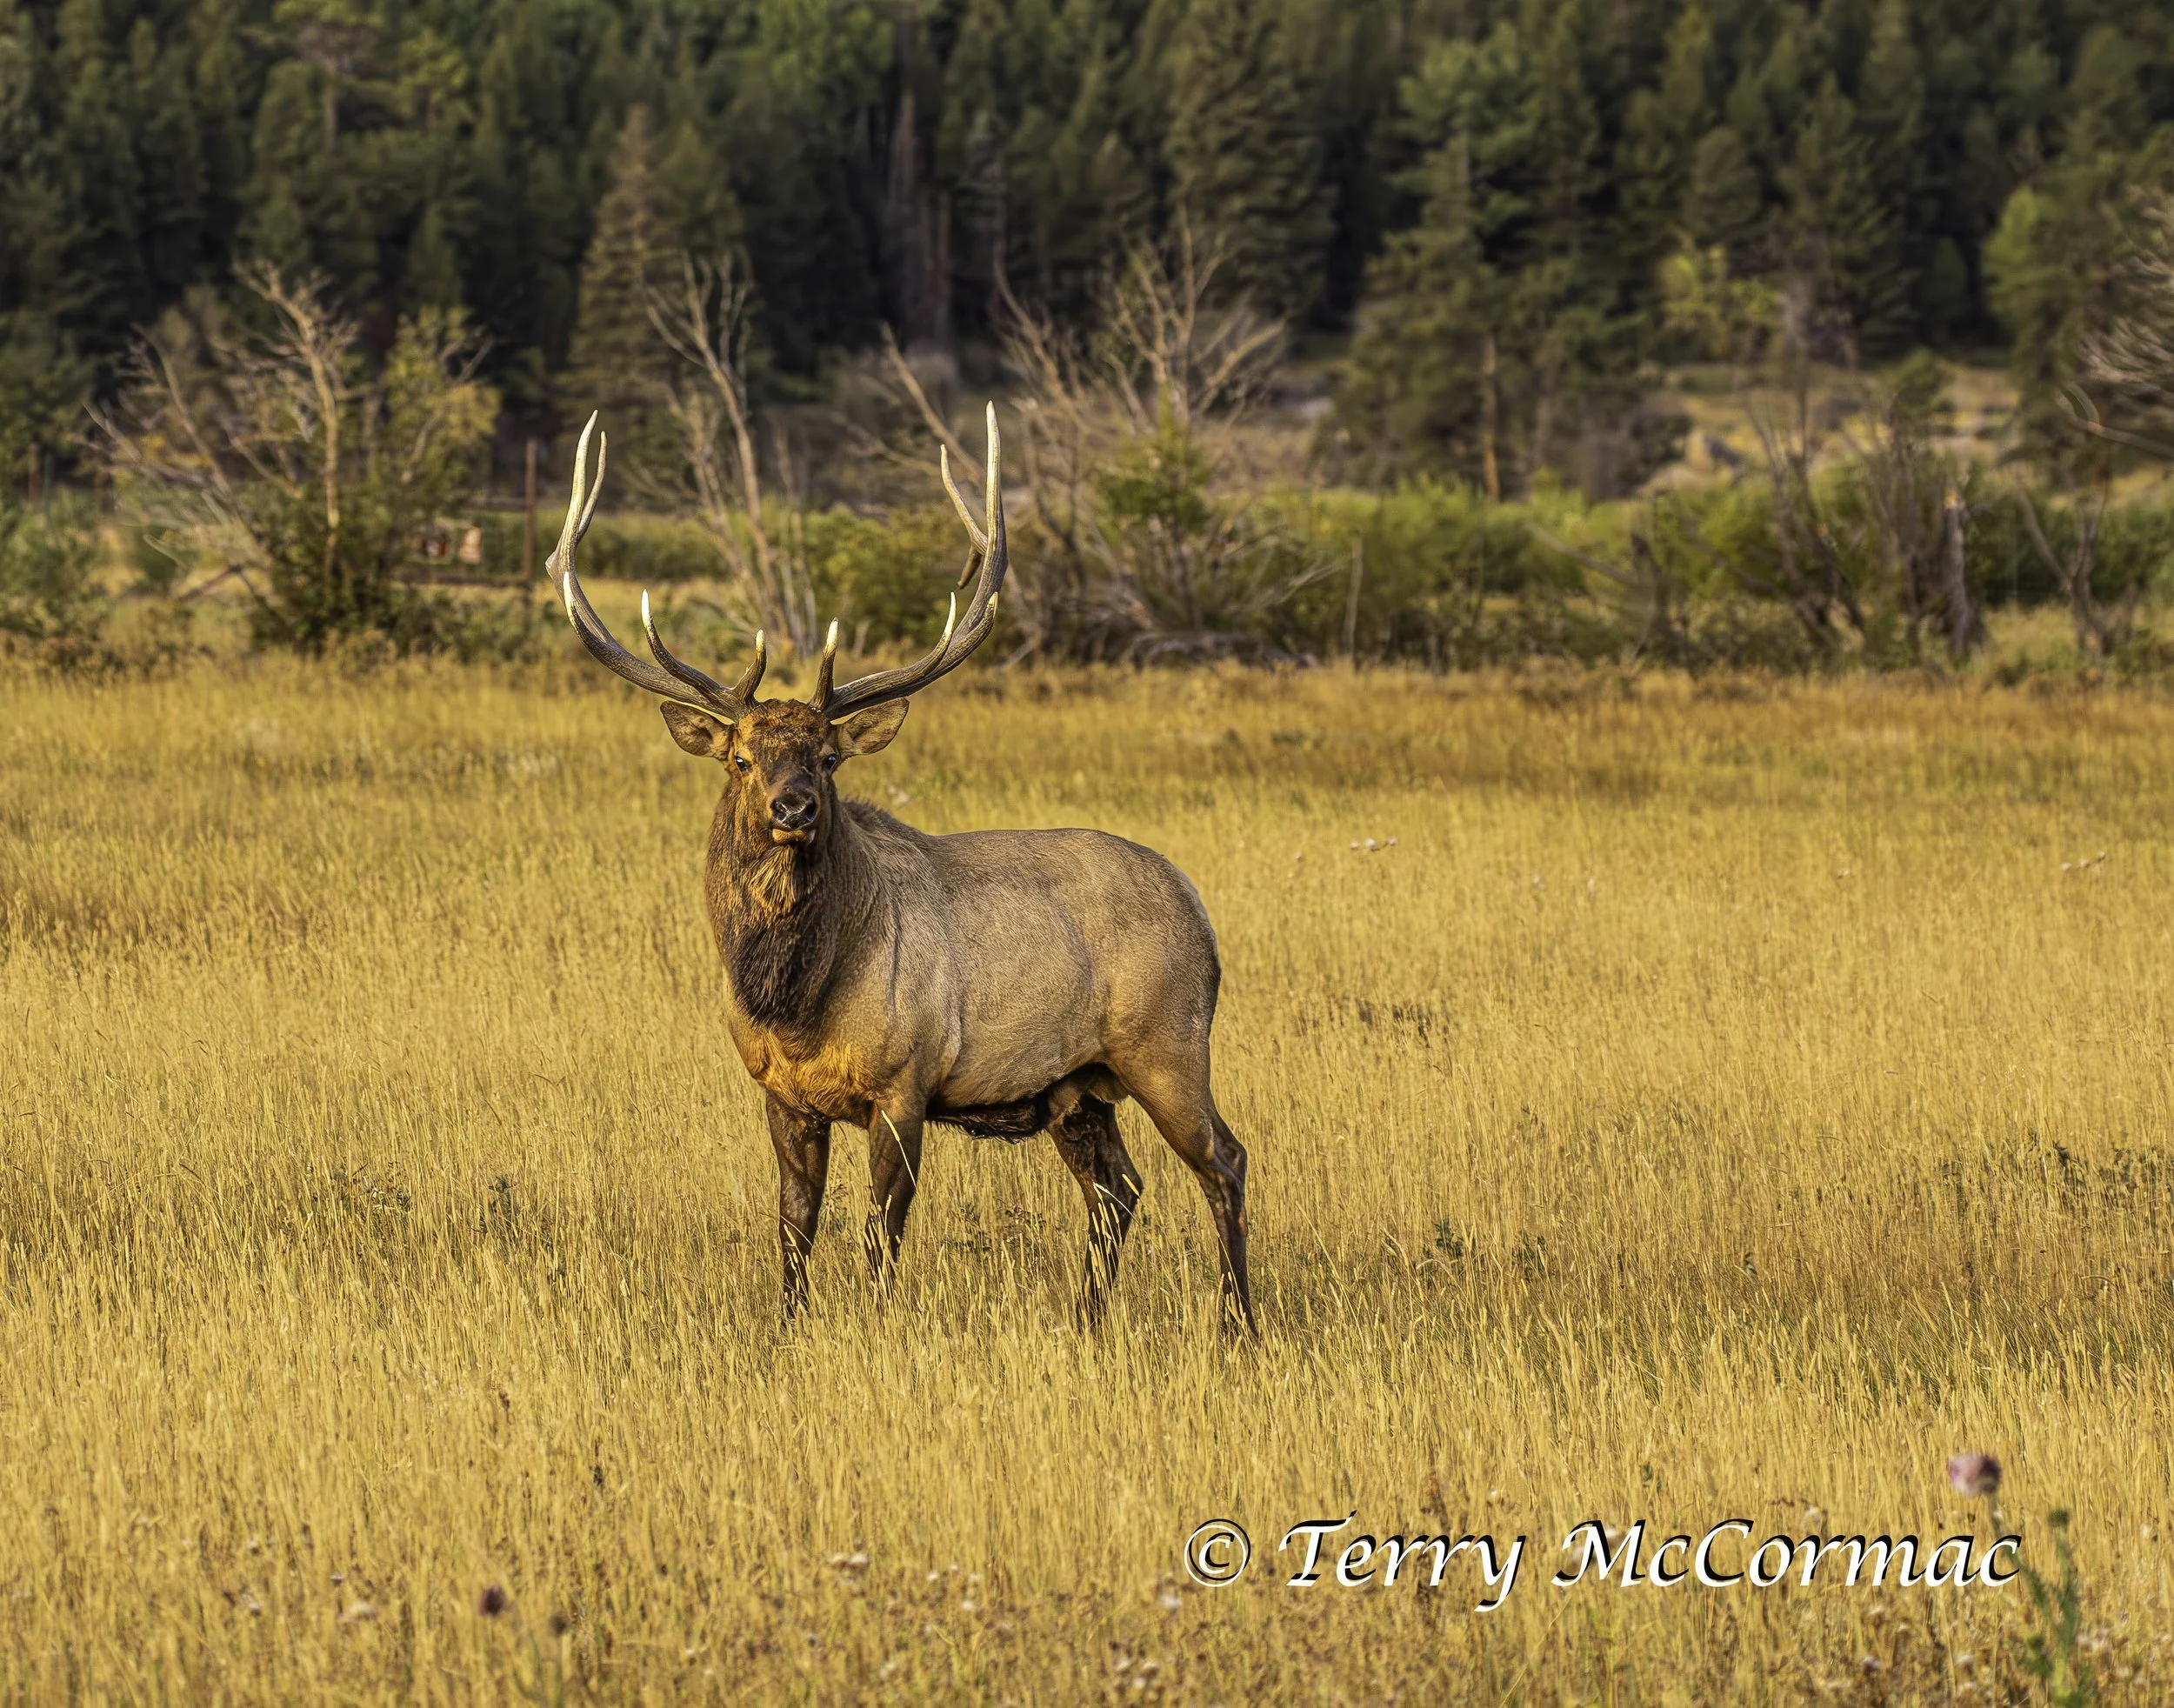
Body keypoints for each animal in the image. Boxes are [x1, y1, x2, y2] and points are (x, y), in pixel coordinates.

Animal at [548, 405, 1256, 1333]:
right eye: (740, 758)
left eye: (827, 757)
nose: (794, 809)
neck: (796, 1004)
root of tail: (1198, 906)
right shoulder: (780, 1095)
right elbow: (794, 1227)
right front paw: (788, 1326)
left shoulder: (904, 1084)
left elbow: (881, 1233)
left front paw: (875, 1325)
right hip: (1077, 1085)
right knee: (1118, 1189)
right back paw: (1087, 1320)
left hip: (1167, 1044)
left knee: (1225, 1162)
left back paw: (1241, 1324)